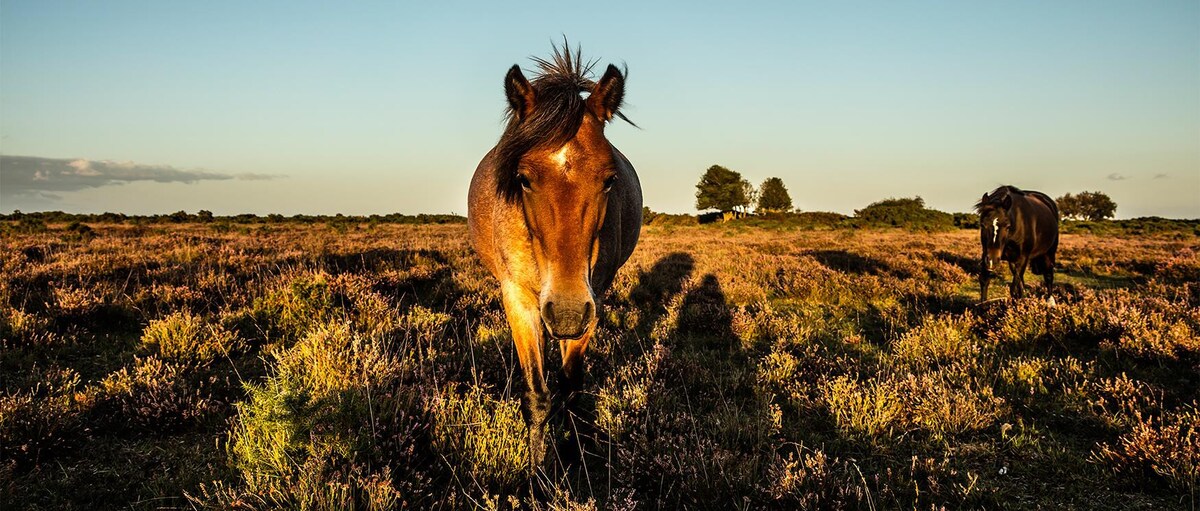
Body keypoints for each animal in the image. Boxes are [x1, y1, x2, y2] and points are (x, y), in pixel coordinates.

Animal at [465, 44, 643, 463]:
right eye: (523, 178)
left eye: (610, 179)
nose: (565, 311)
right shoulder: (518, 299)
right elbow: (537, 396)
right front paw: (538, 470)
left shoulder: (594, 298)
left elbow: (571, 387)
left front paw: (577, 456)